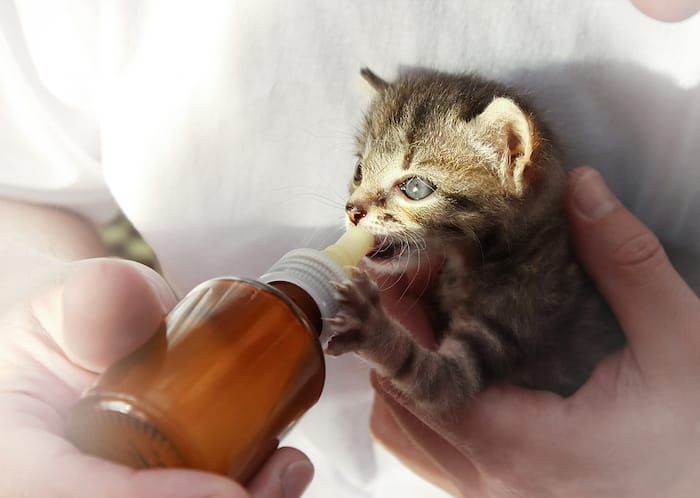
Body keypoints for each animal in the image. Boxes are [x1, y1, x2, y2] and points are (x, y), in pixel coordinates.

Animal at [326, 68, 628, 414]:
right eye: (358, 170)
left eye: (415, 188)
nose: (352, 210)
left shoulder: (509, 324)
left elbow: (434, 381)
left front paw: (369, 326)